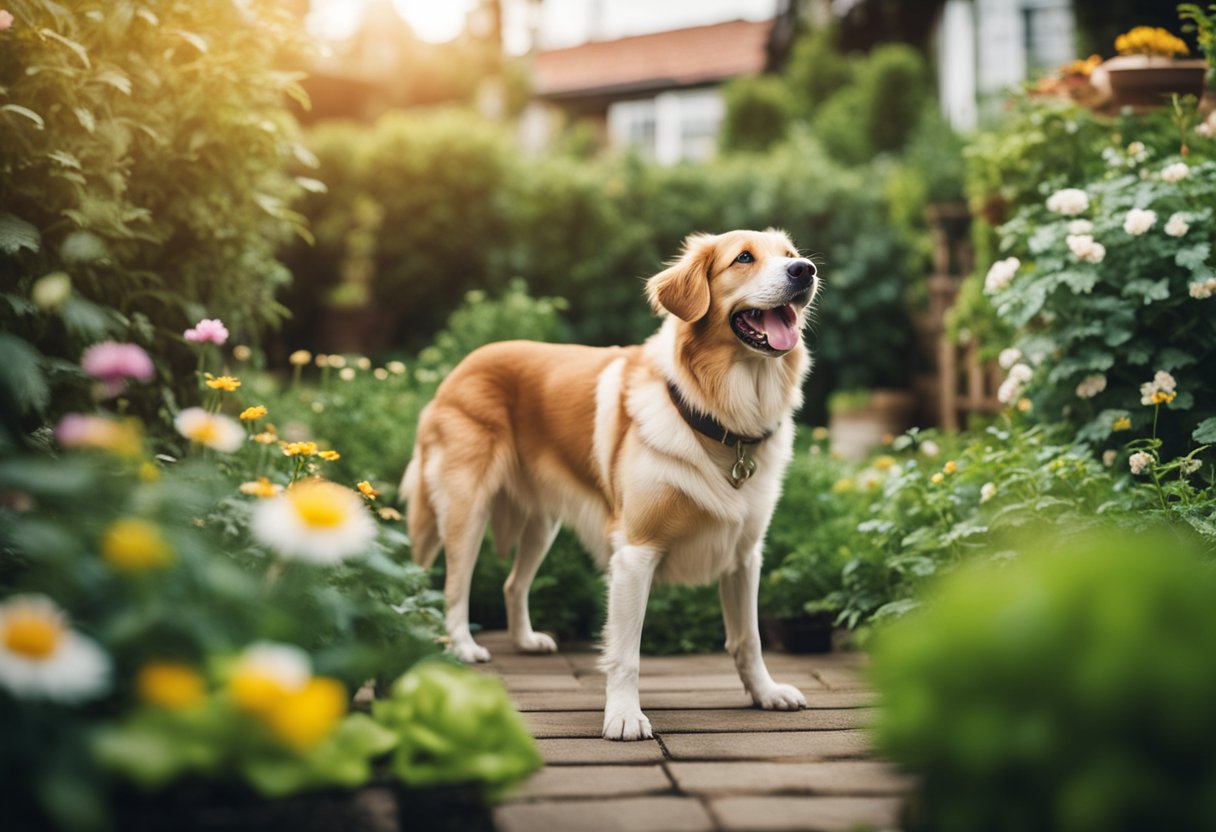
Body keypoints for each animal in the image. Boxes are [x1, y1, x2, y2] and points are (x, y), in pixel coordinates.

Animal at [401, 227, 817, 739]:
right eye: (743, 258)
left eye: (790, 255)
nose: (805, 271)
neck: (718, 415)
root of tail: (461, 365)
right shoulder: (635, 553)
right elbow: (626, 654)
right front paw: (623, 715)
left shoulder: (744, 555)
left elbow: (749, 639)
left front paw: (765, 692)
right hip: (465, 509)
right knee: (454, 586)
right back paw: (461, 646)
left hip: (541, 524)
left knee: (513, 584)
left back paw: (525, 639)